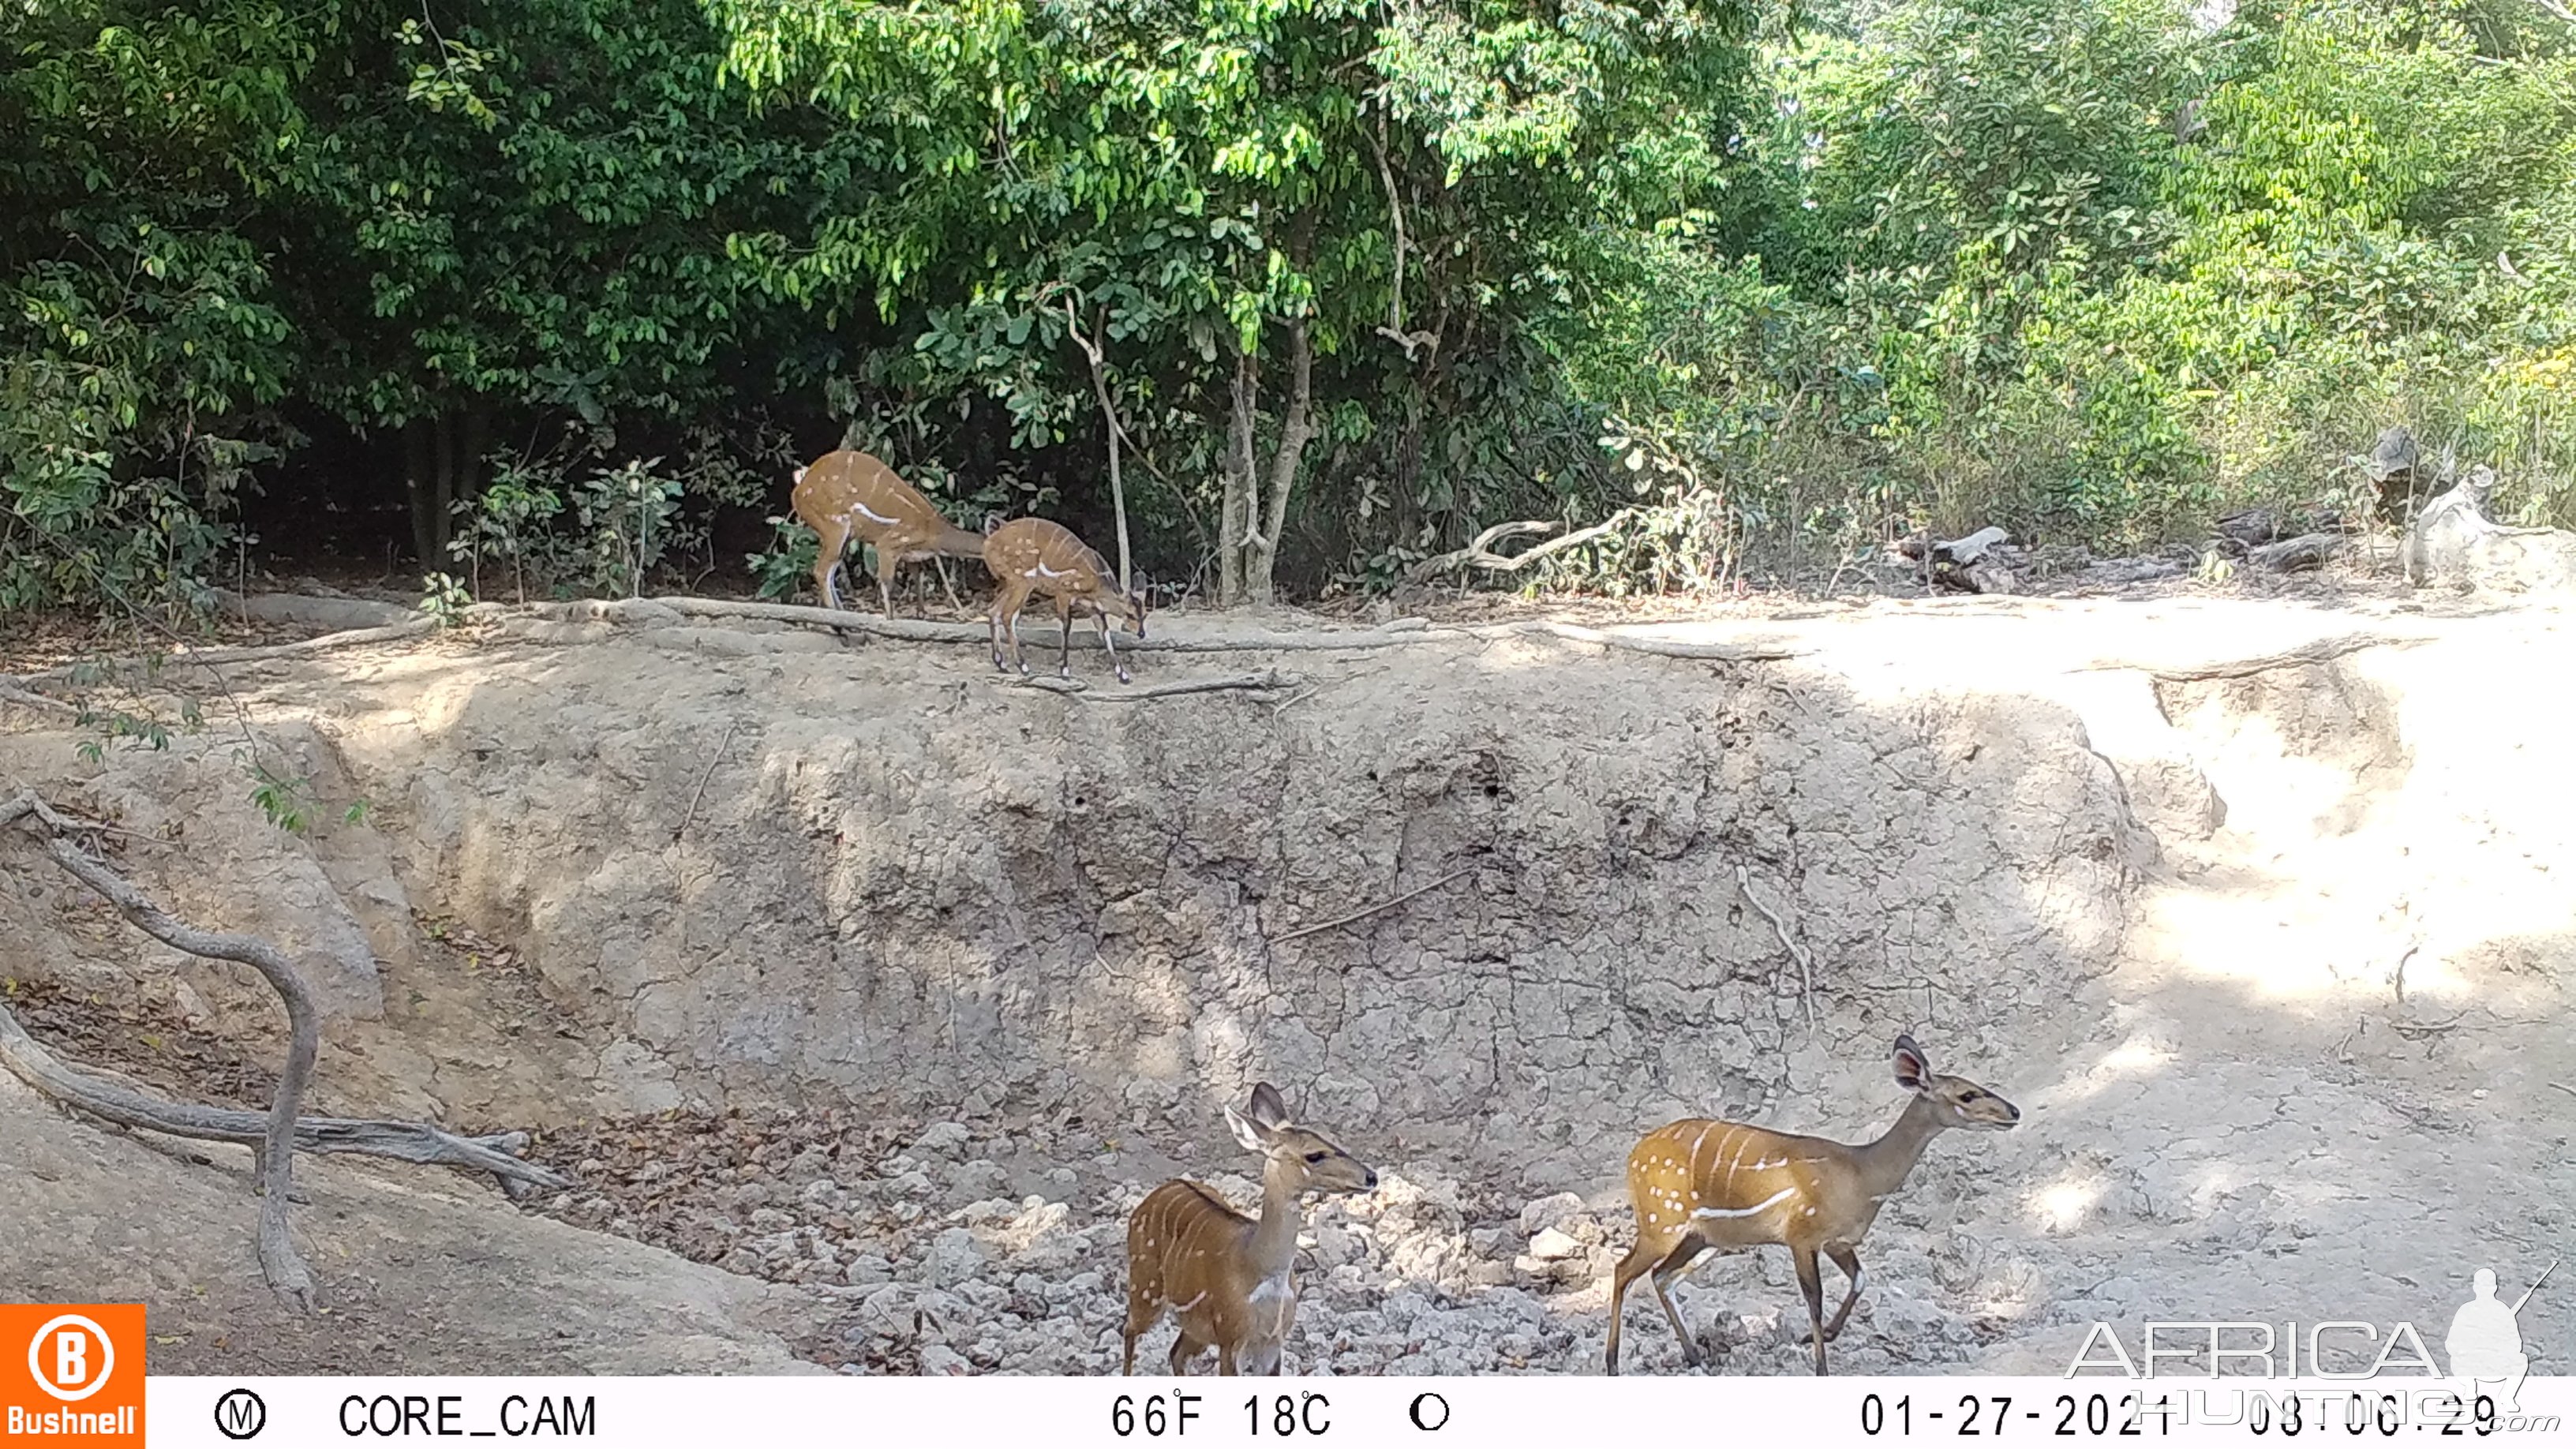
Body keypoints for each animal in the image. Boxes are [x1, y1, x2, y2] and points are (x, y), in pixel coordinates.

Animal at [783, 448, 983, 611]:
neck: (934, 533)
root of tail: (800, 485)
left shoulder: (912, 557)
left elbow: (918, 584)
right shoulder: (889, 544)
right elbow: (887, 584)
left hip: (845, 535)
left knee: (830, 570)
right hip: (834, 525)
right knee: (821, 570)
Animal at [983, 513, 1148, 680]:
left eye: (1145, 615)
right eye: (1130, 614)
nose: (1141, 633)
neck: (1095, 583)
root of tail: (989, 542)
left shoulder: (1092, 607)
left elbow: (1105, 633)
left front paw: (1124, 675)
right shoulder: (1063, 591)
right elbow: (1066, 626)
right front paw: (1064, 670)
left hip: (1010, 582)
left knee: (993, 609)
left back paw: (1001, 664)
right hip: (1023, 581)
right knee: (1008, 614)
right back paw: (1023, 667)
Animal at [1123, 1077, 1380, 1371]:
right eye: (1314, 1155)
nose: (1371, 1177)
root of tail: (1149, 1200)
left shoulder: (1272, 1342)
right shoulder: (1231, 1339)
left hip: (1195, 1326)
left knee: (1176, 1353)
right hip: (1146, 1289)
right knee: (1130, 1330)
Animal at [1607, 1031, 2009, 1371]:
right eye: (1967, 1095)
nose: (2014, 1112)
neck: (1863, 1174)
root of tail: (1634, 1155)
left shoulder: (1837, 1241)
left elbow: (1860, 1279)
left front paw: (1821, 1336)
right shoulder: (1802, 1237)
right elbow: (1814, 1301)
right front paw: (1820, 1365)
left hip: (1703, 1239)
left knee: (1662, 1277)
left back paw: (1695, 1357)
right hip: (1662, 1223)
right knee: (1625, 1270)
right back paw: (1613, 1364)